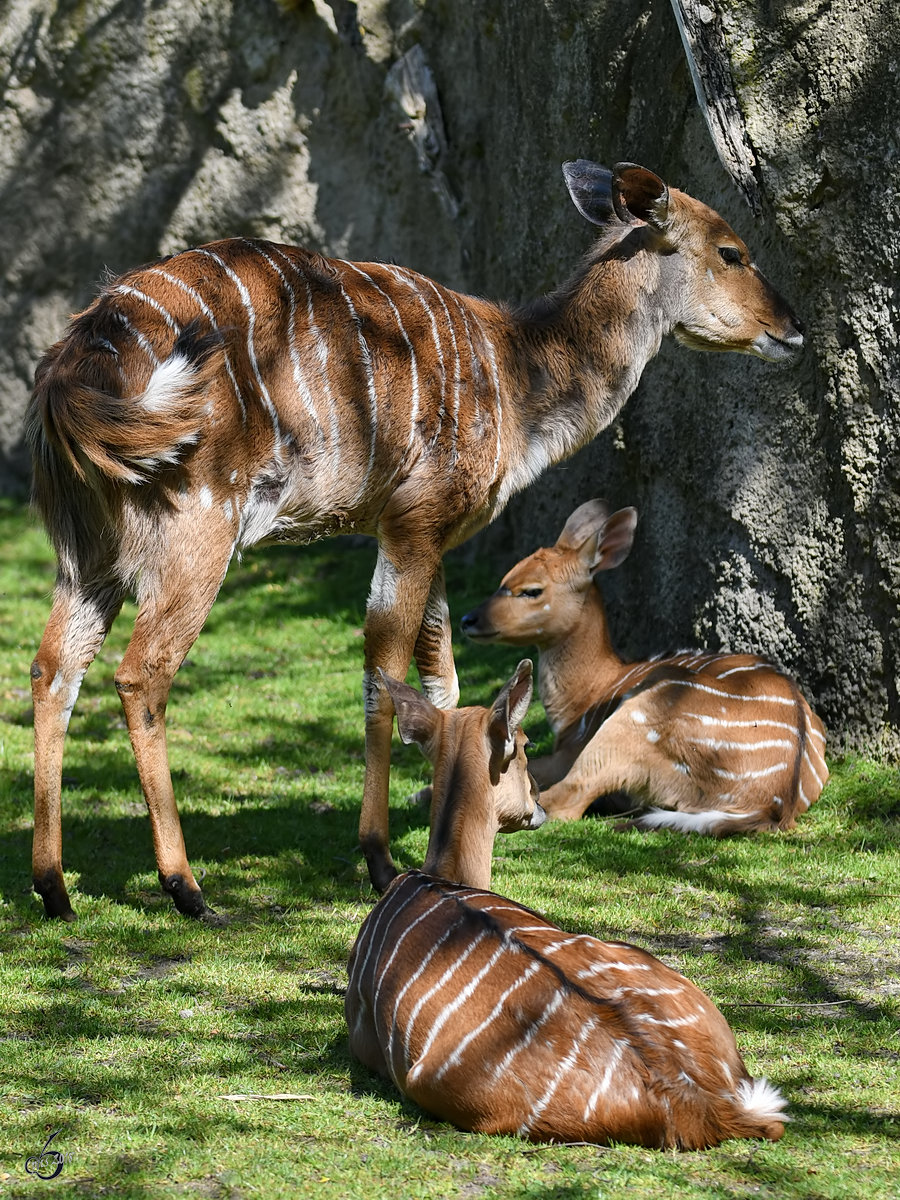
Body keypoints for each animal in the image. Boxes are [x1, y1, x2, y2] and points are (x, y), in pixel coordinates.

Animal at [460, 499, 830, 835]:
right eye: (506, 577)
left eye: (531, 590)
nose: (468, 619)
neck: (587, 694)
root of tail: (773, 804)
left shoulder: (570, 750)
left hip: (633, 720)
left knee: (567, 800)